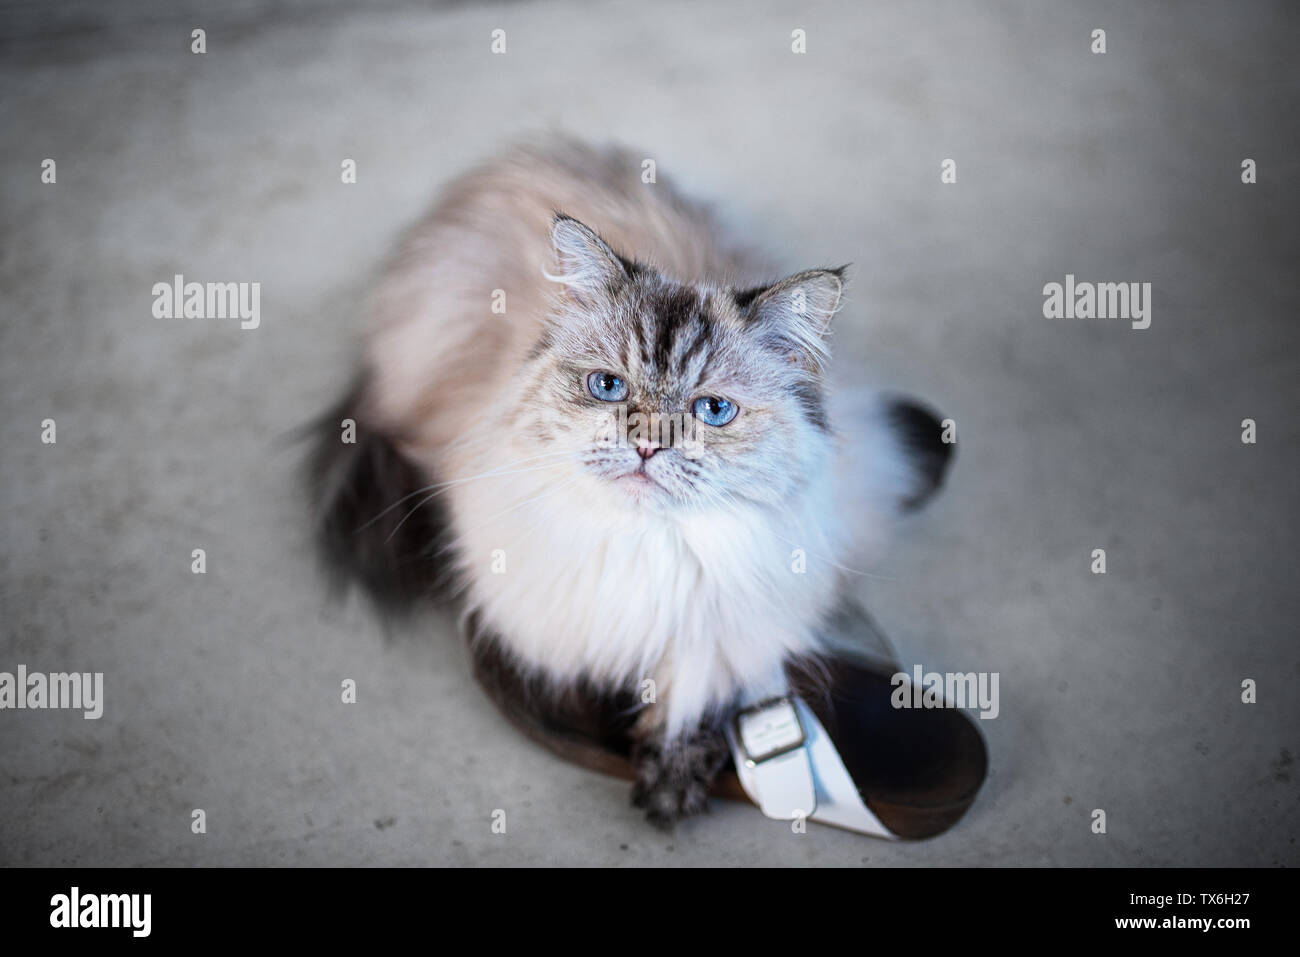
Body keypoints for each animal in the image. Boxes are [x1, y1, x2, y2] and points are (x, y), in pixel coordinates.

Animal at [309, 136, 951, 832]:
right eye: (608, 388)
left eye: (712, 411)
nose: (646, 445)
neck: (650, 548)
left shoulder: (735, 625)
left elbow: (703, 691)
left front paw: (672, 784)